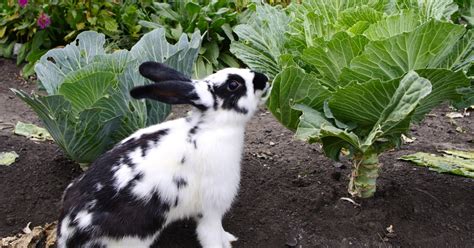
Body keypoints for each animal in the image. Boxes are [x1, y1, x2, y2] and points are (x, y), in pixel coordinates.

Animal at [55, 60, 268, 248]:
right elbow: (210, 235)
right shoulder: (211, 209)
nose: (264, 79)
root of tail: (67, 233)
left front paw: (229, 238)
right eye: (234, 84)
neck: (210, 127)